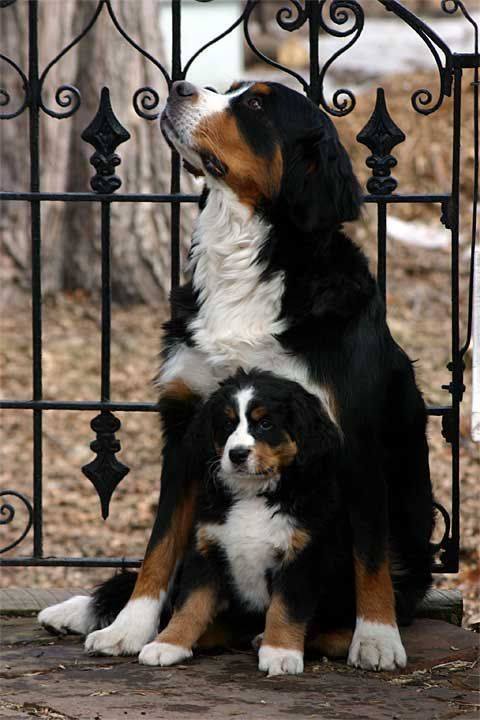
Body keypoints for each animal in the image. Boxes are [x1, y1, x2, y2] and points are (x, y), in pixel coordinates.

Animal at [39, 80, 434, 676]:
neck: (244, 264)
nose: (177, 87)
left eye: (255, 104)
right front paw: (130, 627)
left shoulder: (354, 436)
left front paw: (377, 637)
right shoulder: (186, 432)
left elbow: (368, 552)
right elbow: (161, 549)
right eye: (228, 90)